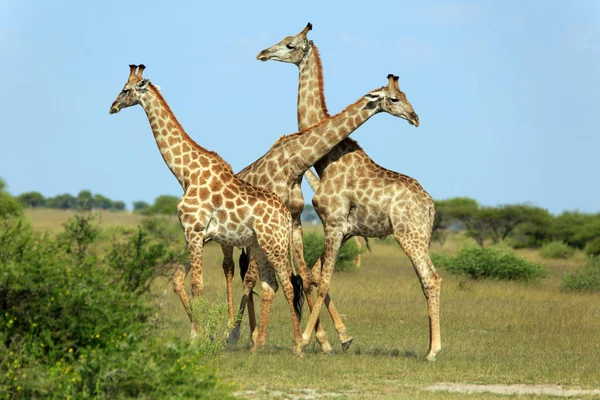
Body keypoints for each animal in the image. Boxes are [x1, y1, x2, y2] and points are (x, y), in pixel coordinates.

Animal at [108, 64, 304, 354]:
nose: (112, 107)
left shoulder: (193, 230)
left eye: (125, 90)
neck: (186, 172)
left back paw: (298, 347)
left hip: (275, 245)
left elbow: (197, 284)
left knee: (289, 286)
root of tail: (286, 215)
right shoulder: (199, 235)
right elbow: (185, 280)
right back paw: (257, 347)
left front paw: (195, 338)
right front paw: (204, 335)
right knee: (270, 285)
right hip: (260, 246)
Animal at [225, 71, 418, 354]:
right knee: (235, 272)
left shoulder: (293, 220)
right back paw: (233, 333)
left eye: (405, 95)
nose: (415, 117)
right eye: (394, 98)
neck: (292, 165)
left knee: (250, 274)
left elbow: (301, 276)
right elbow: (275, 278)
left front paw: (324, 339)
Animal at [255, 23, 442, 360]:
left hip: (410, 236)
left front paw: (307, 340)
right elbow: (316, 274)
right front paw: (340, 338)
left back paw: (433, 351)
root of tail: (431, 206)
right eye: (397, 97)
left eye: (290, 45)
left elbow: (324, 278)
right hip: (418, 236)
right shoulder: (345, 229)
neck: (327, 159)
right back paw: (429, 347)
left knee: (430, 279)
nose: (263, 53)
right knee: (430, 278)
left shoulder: (334, 222)